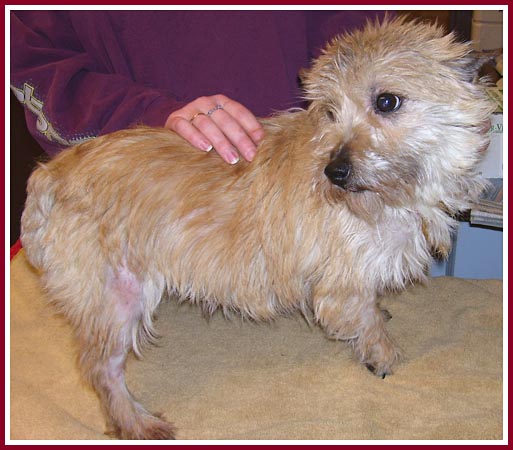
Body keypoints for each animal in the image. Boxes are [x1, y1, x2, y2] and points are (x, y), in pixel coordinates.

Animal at [21, 17, 496, 440]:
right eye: (330, 111)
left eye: (387, 102)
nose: (334, 173)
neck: (394, 195)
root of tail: (49, 174)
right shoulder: (343, 281)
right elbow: (365, 320)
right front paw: (382, 352)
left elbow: (372, 307)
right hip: (117, 295)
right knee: (101, 370)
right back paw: (135, 422)